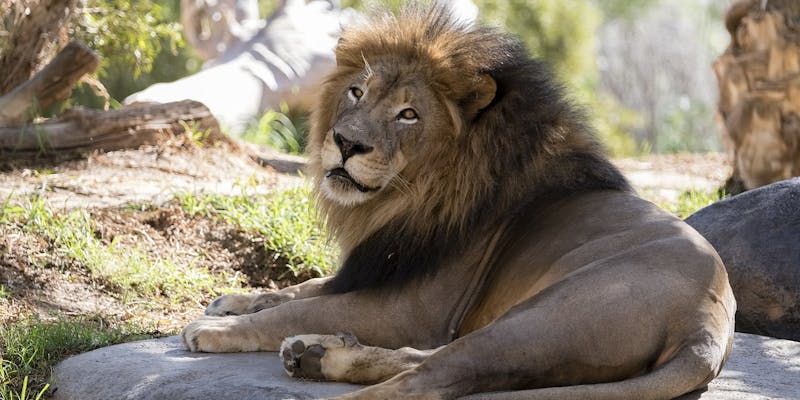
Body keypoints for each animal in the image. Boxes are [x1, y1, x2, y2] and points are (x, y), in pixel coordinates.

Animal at [183, 3, 736, 400]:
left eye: (408, 114)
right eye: (357, 92)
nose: (344, 142)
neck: (407, 198)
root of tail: (706, 328)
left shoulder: (412, 308)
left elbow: (296, 309)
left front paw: (216, 327)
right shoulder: (376, 268)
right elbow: (303, 289)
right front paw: (234, 300)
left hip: (540, 315)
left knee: (430, 377)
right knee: (424, 361)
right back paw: (316, 355)